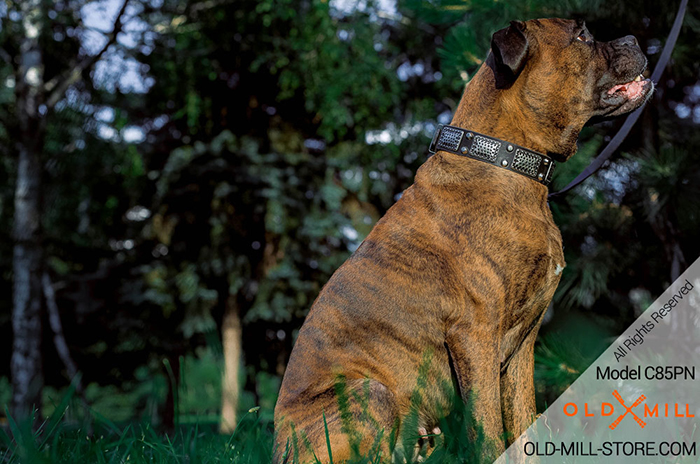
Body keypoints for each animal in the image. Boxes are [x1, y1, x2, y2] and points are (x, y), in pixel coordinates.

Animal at [272, 16, 652, 462]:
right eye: (582, 36)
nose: (634, 38)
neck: (504, 162)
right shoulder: (475, 336)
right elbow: (488, 435)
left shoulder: (520, 350)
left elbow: (523, 430)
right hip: (370, 392)